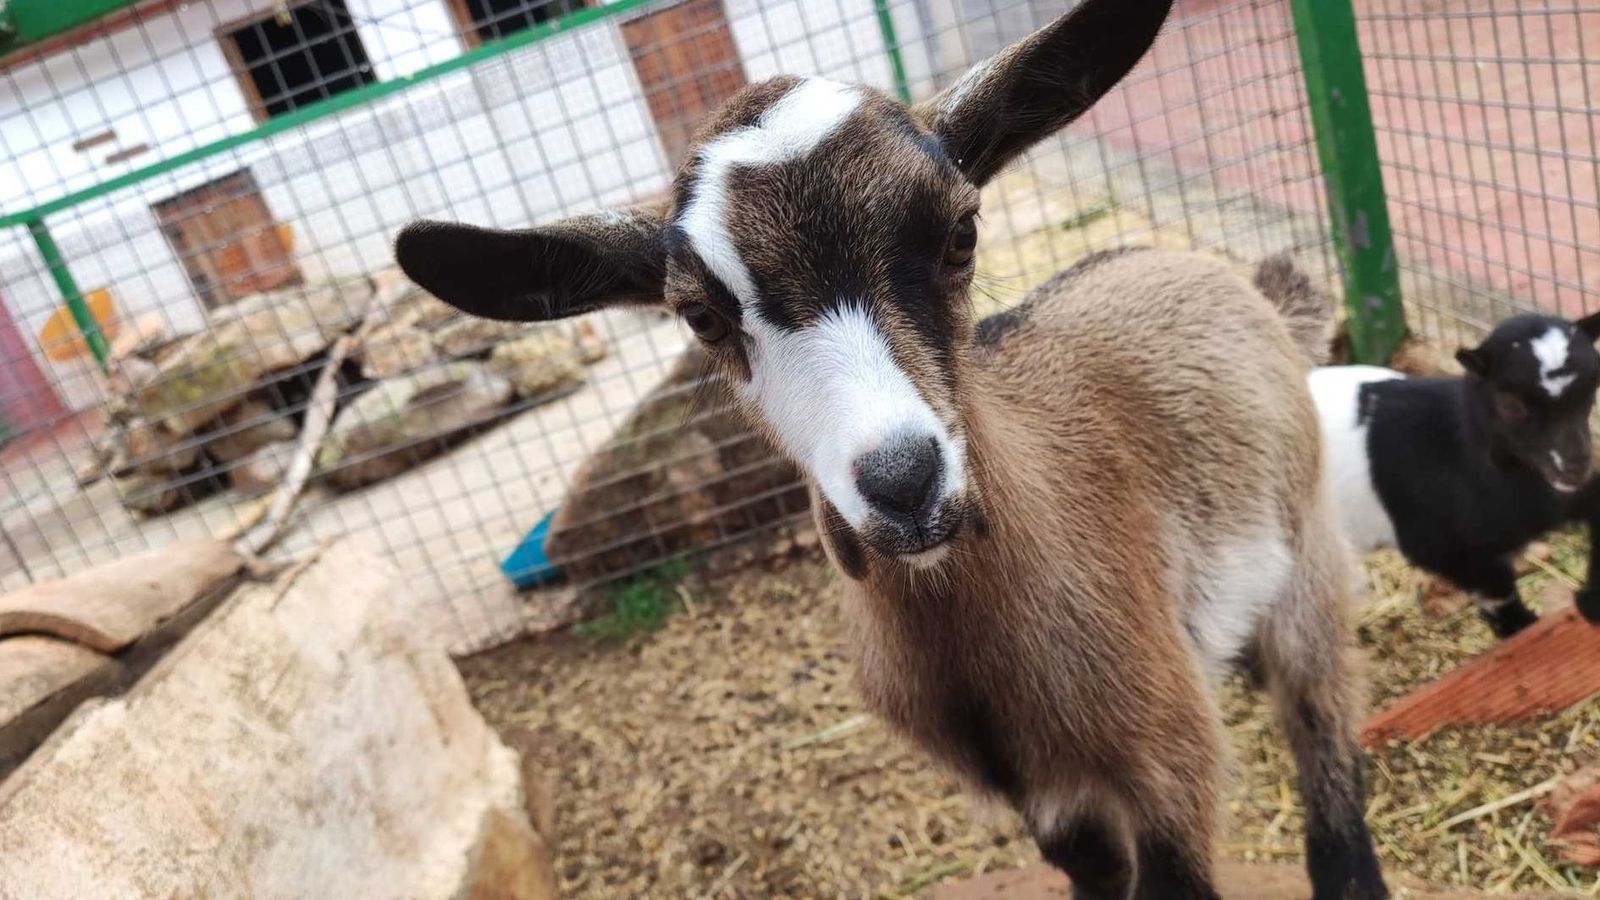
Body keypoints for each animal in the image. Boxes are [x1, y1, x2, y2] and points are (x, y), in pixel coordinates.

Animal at [393, 2, 1387, 896]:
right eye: (700, 315)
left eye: (963, 233)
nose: (905, 482)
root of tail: (1223, 274)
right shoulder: (1040, 796)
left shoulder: (1167, 757)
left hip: (1305, 559)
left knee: (1327, 746)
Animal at [1311, 312, 1600, 638]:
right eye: (1509, 405)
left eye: (1591, 390)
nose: (1575, 465)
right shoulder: (1446, 550)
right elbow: (1501, 603)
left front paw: (1592, 600)